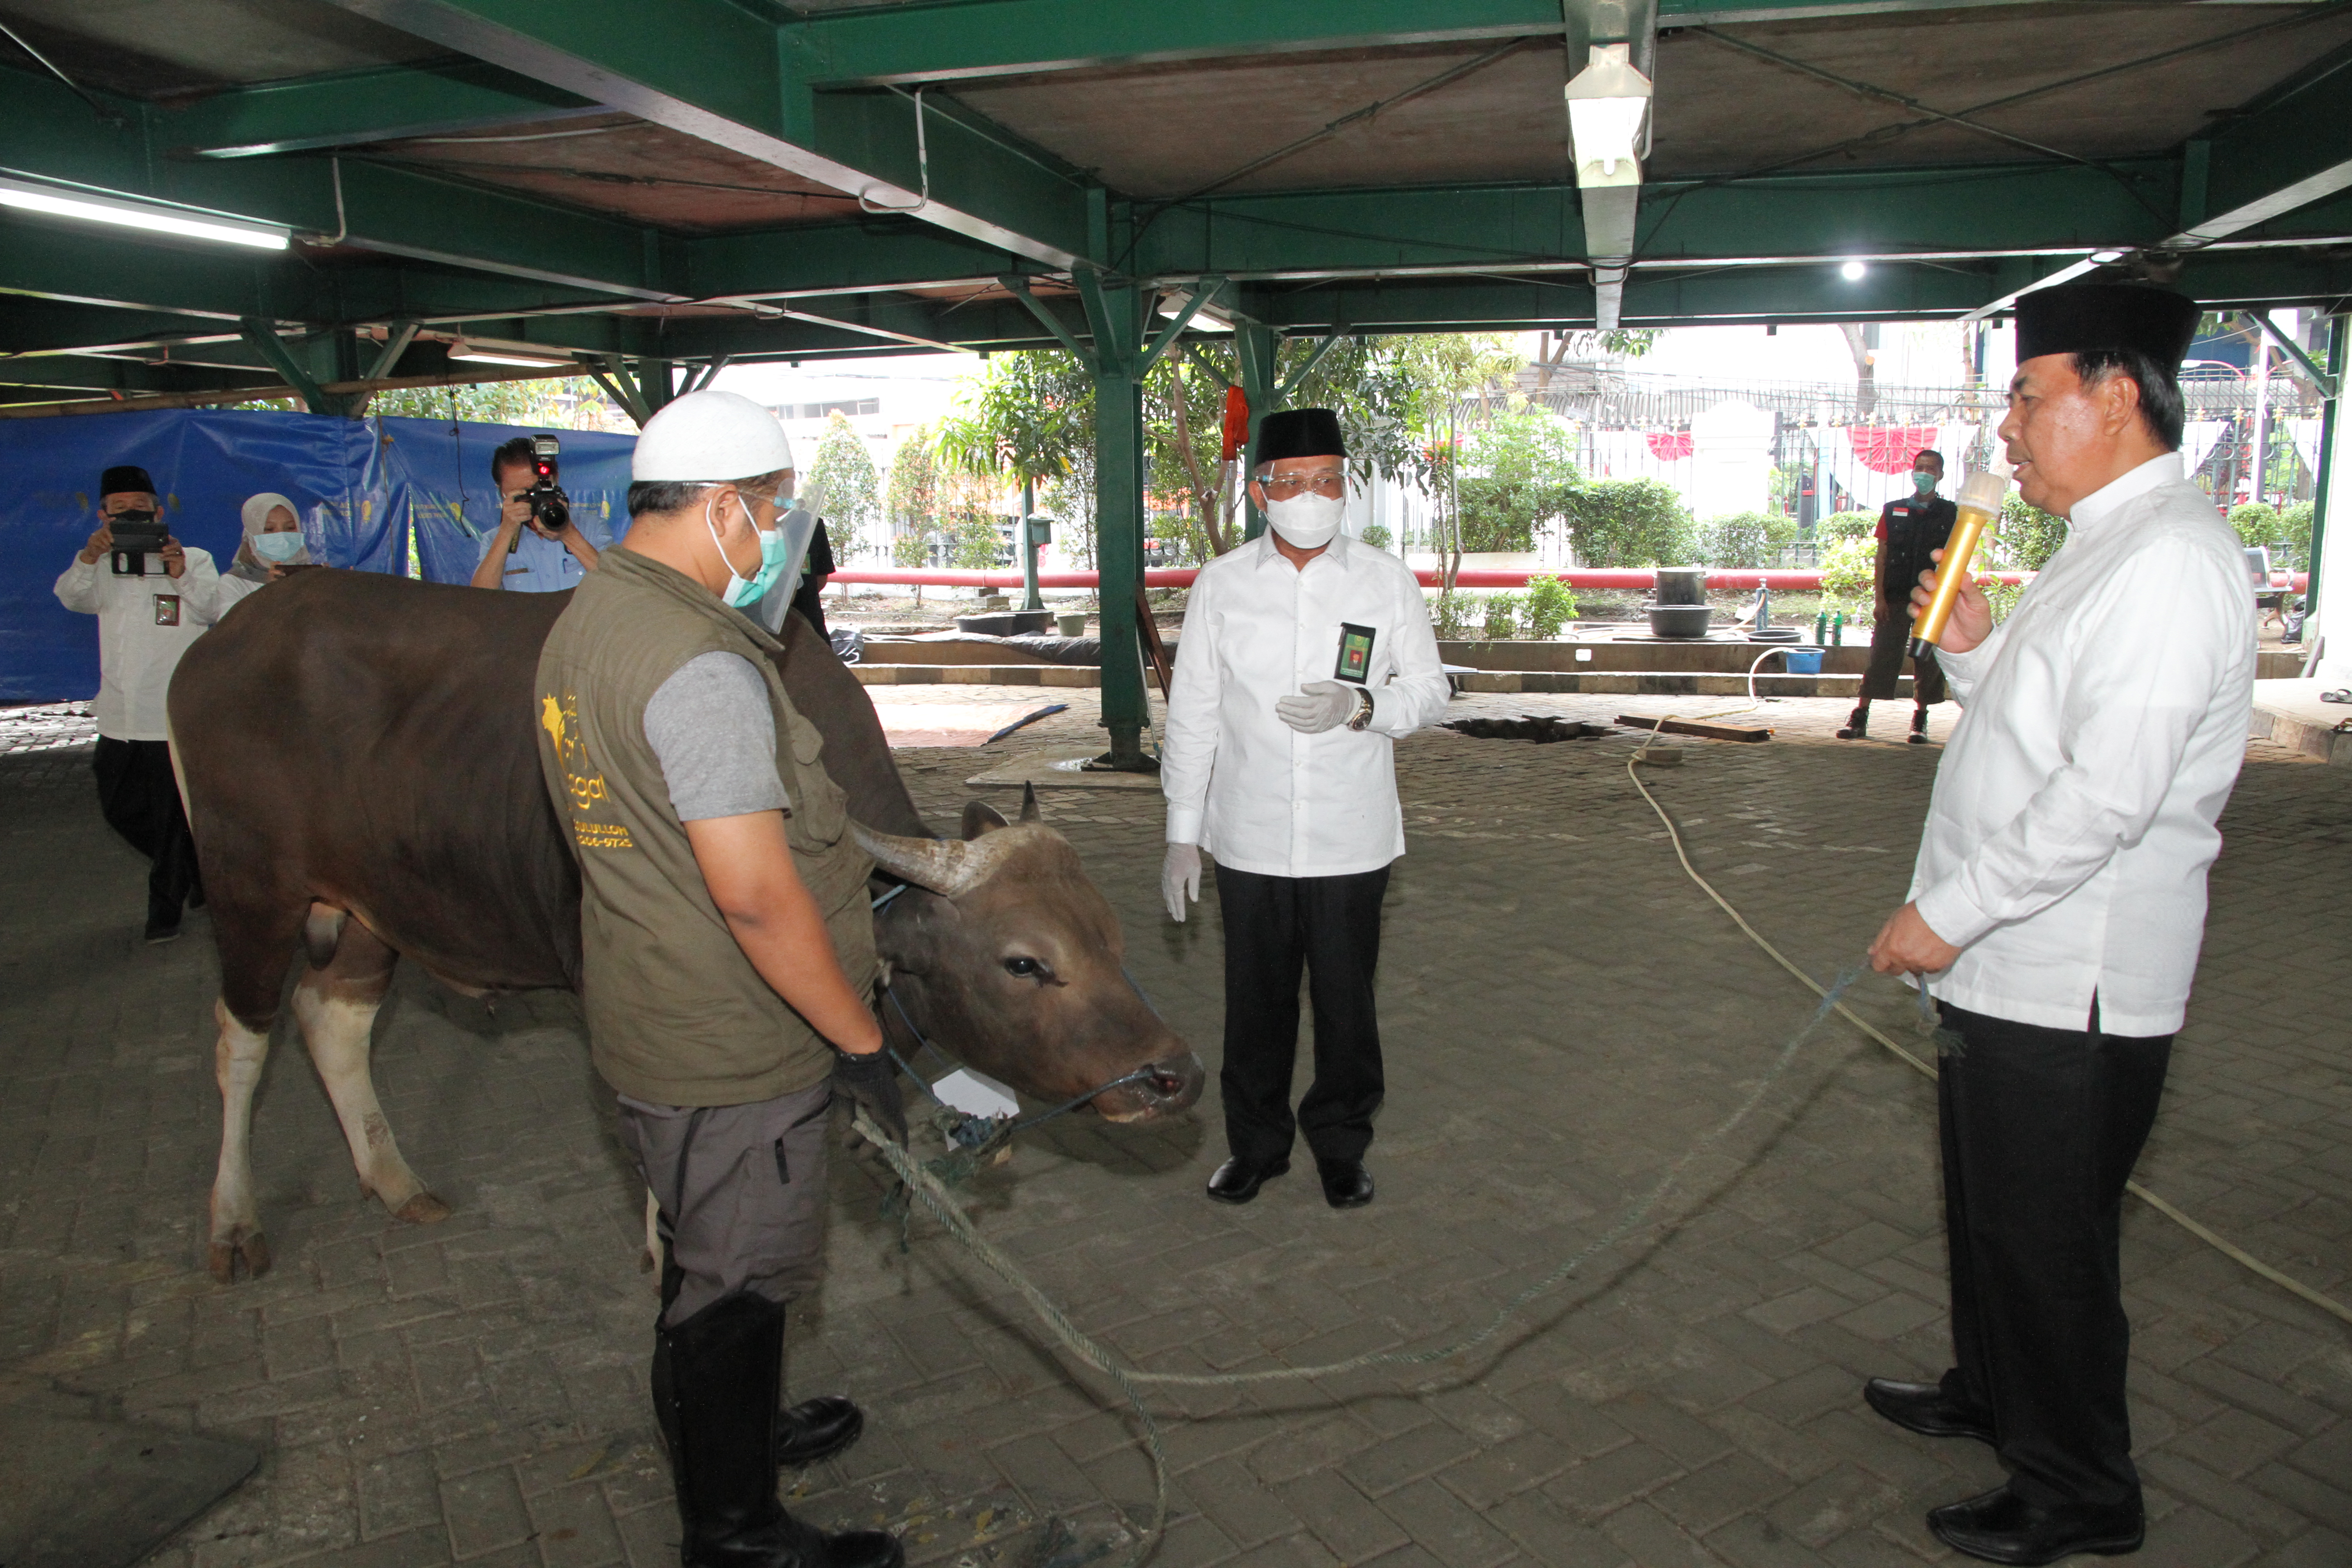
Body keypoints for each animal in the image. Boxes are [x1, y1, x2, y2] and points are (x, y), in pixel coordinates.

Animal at [170, 571, 1195, 1279]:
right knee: (239, 1039)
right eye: (1025, 963)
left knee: (331, 1022)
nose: (1172, 1076)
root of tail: (224, 639)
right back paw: (231, 1223)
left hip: (368, 909)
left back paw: (396, 1182)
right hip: (250, 891)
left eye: (1110, 933)